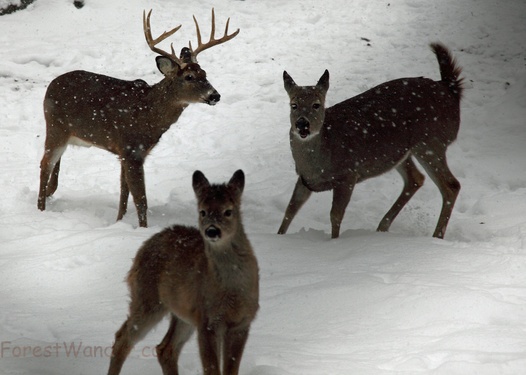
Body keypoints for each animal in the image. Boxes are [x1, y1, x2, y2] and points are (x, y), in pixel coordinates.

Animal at [38, 8, 240, 228]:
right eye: (189, 77)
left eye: (205, 73)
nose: (215, 95)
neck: (149, 116)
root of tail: (50, 85)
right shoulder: (131, 150)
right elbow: (140, 199)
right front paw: (142, 230)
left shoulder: (126, 152)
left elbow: (124, 194)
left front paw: (119, 223)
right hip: (55, 127)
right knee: (44, 164)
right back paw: (40, 210)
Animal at [108, 170, 260, 375]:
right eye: (202, 211)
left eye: (228, 211)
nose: (212, 231)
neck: (232, 291)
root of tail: (142, 248)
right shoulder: (208, 321)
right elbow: (212, 369)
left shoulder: (242, 322)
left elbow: (231, 370)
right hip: (147, 298)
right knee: (122, 337)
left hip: (183, 313)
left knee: (165, 348)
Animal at [278, 42, 464, 239]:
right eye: (293, 105)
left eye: (316, 104)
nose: (302, 124)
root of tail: (450, 90)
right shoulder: (304, 180)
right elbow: (290, 209)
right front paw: (278, 237)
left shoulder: (348, 175)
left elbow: (335, 215)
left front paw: (334, 241)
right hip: (401, 152)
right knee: (416, 178)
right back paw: (382, 228)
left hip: (430, 142)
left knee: (451, 185)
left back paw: (436, 237)